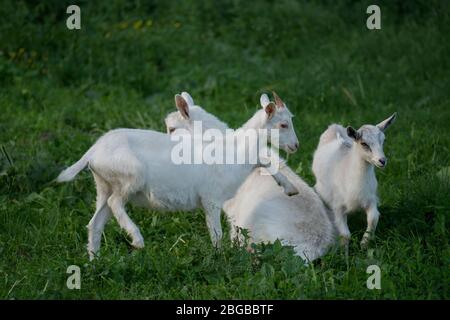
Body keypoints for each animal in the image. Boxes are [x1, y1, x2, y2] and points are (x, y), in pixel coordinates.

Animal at [59, 92, 298, 260]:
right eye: (283, 124)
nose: (296, 146)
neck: (231, 148)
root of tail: (93, 152)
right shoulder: (211, 198)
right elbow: (216, 233)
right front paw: (219, 259)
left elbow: (264, 161)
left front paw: (290, 188)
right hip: (130, 176)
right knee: (115, 202)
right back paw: (137, 239)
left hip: (104, 183)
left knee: (96, 222)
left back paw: (95, 262)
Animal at [312, 113, 398, 248]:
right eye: (364, 143)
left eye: (383, 140)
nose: (382, 161)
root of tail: (334, 126)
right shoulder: (338, 207)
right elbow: (345, 235)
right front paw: (344, 252)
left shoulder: (370, 200)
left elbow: (373, 218)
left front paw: (364, 244)